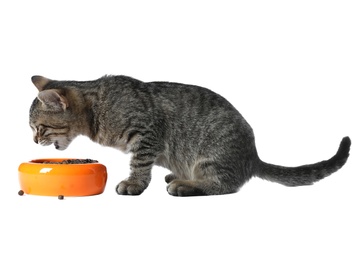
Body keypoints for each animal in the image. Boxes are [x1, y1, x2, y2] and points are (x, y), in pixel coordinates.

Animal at [28, 74, 350, 196]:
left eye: (38, 127)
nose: (33, 140)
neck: (97, 108)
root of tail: (252, 157)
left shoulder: (146, 132)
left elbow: (139, 163)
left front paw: (134, 183)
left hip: (211, 154)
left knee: (224, 186)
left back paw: (186, 185)